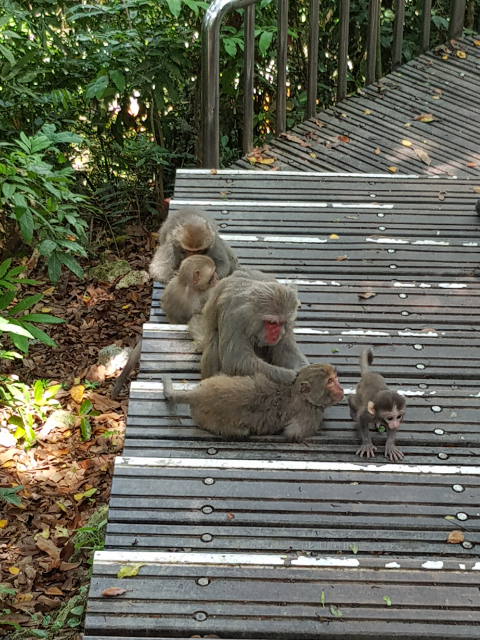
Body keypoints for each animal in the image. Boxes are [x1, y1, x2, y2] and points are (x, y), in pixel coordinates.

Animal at [163, 364, 343, 442]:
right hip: (208, 419)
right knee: (243, 432)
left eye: (335, 378)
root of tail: (200, 394)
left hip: (214, 380)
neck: (299, 393)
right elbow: (293, 434)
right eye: (330, 381)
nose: (340, 389)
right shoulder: (309, 415)